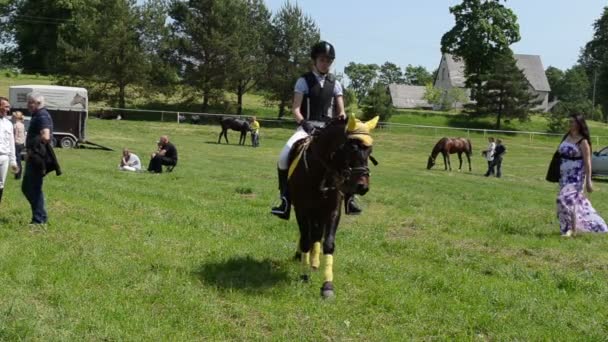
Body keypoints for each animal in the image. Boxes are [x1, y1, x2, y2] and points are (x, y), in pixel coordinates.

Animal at [288, 113, 378, 298]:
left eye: (370, 151)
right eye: (352, 149)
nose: (363, 187)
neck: (320, 171)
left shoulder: (332, 211)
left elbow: (328, 243)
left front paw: (327, 286)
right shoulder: (301, 210)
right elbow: (306, 239)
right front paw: (304, 275)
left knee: (316, 234)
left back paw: (314, 261)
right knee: (309, 235)